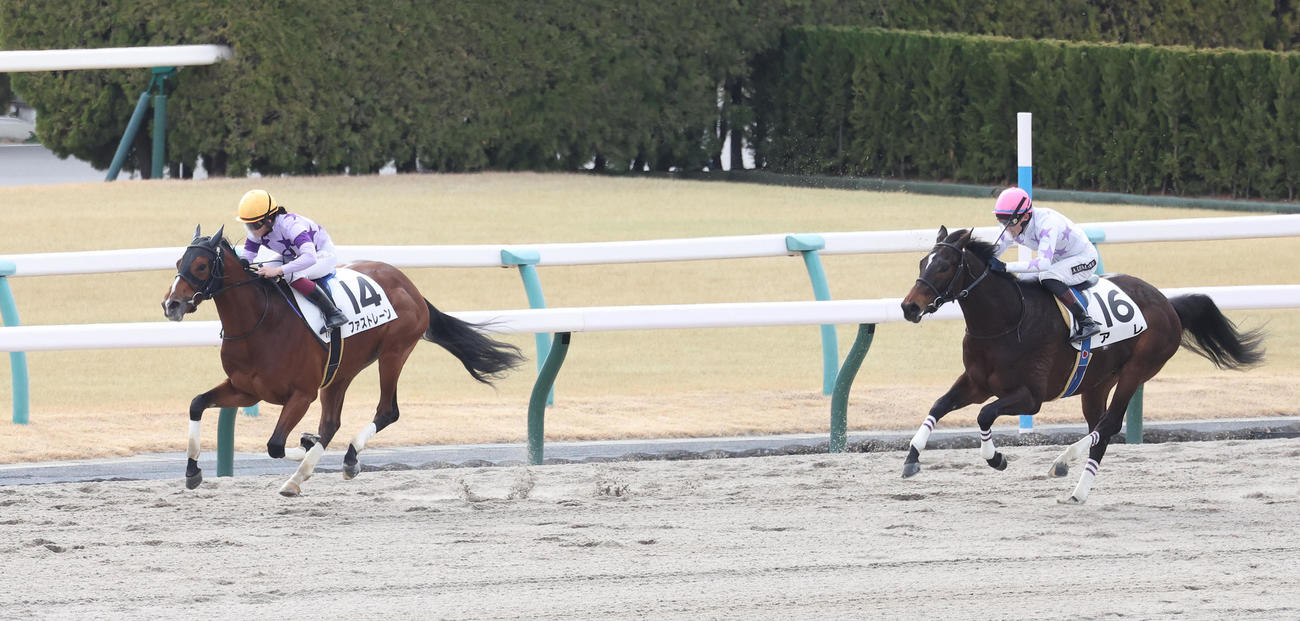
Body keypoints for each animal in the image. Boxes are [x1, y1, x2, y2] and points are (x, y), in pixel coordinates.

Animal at [161, 226, 525, 496]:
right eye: (179, 261)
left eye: (201, 265)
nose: (171, 304)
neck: (260, 323)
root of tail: (410, 286)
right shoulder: (245, 390)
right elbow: (197, 403)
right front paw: (192, 470)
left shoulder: (301, 394)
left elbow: (276, 445)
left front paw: (305, 444)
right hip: (341, 370)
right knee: (332, 423)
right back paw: (299, 477)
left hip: (394, 352)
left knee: (386, 411)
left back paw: (344, 458)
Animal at [899, 226, 1264, 503]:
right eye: (922, 262)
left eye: (944, 266)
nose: (908, 307)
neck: (1006, 321)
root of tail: (1167, 303)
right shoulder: (976, 383)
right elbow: (939, 405)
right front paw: (912, 458)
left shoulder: (1030, 396)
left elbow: (984, 414)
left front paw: (996, 458)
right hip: (1098, 381)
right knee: (1099, 429)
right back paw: (1077, 490)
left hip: (1138, 368)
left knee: (1110, 423)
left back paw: (1065, 465)